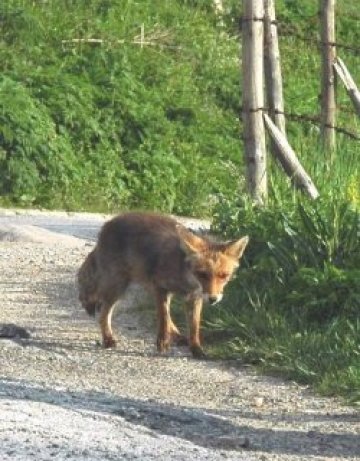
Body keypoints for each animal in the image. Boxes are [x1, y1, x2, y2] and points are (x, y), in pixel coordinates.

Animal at [77, 210, 249, 358]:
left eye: (223, 276)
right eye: (202, 274)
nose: (213, 299)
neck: (184, 277)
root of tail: (109, 223)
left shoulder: (194, 297)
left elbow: (193, 327)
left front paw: (196, 349)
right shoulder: (160, 287)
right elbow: (163, 317)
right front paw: (162, 343)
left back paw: (178, 336)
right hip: (118, 286)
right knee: (103, 313)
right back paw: (108, 338)